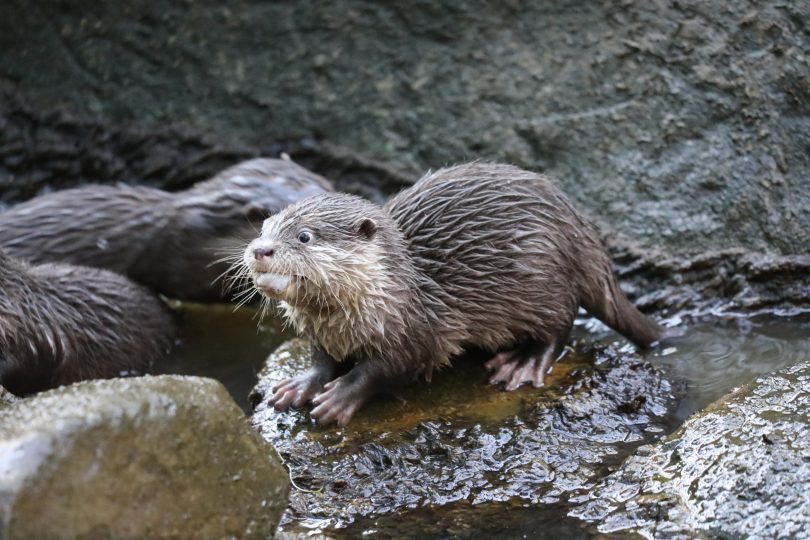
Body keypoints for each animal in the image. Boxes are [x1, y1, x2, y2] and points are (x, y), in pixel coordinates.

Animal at [243, 160, 660, 426]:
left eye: (304, 236)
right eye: (264, 227)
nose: (260, 250)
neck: (397, 292)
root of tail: (580, 228)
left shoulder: (418, 332)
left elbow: (383, 370)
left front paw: (339, 397)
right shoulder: (323, 334)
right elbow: (321, 360)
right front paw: (300, 385)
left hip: (546, 280)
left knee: (560, 327)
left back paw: (522, 364)